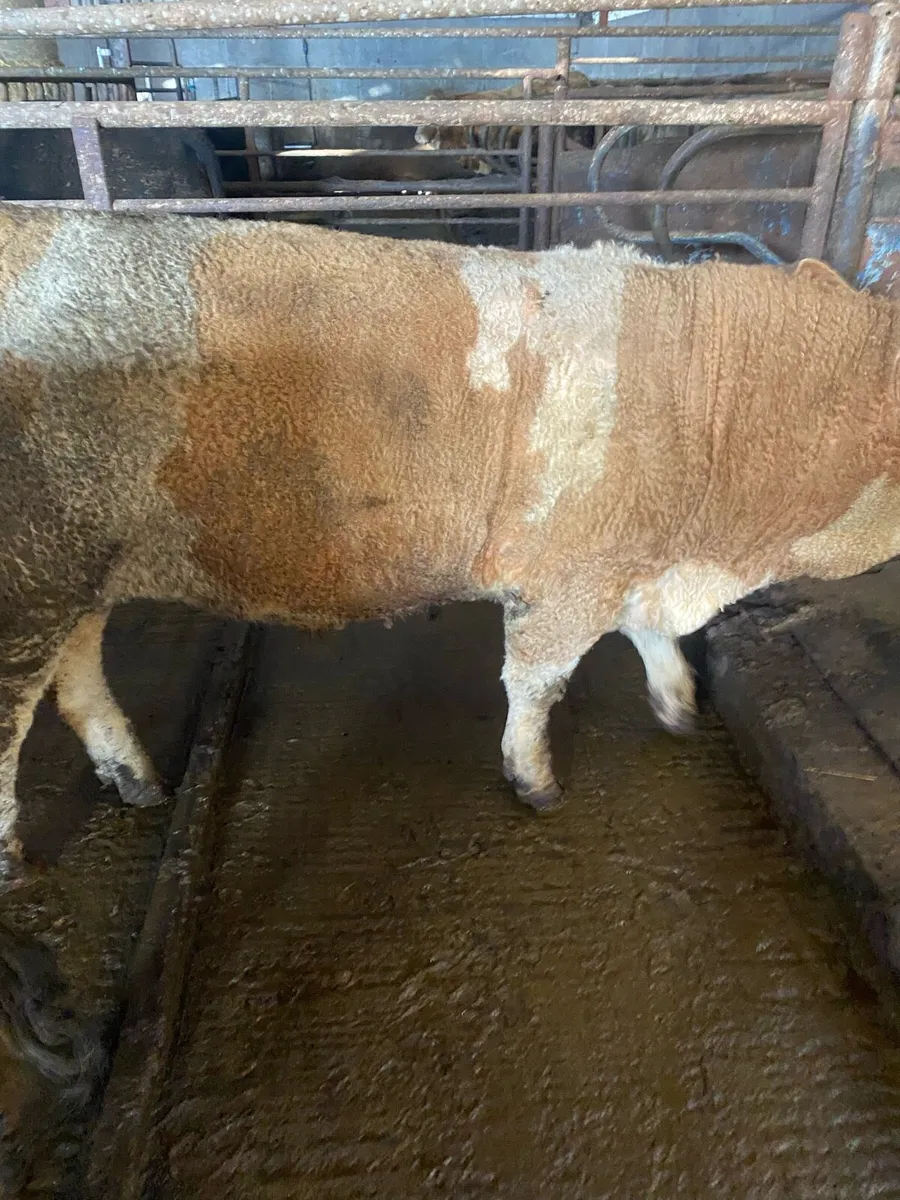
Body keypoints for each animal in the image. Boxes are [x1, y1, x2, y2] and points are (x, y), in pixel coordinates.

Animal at [0, 206, 898, 1094]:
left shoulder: (629, 556)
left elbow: (651, 633)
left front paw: (678, 707)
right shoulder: (571, 569)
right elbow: (540, 679)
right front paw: (536, 782)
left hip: (77, 572)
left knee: (76, 676)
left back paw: (138, 782)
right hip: (31, 578)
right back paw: (16, 862)